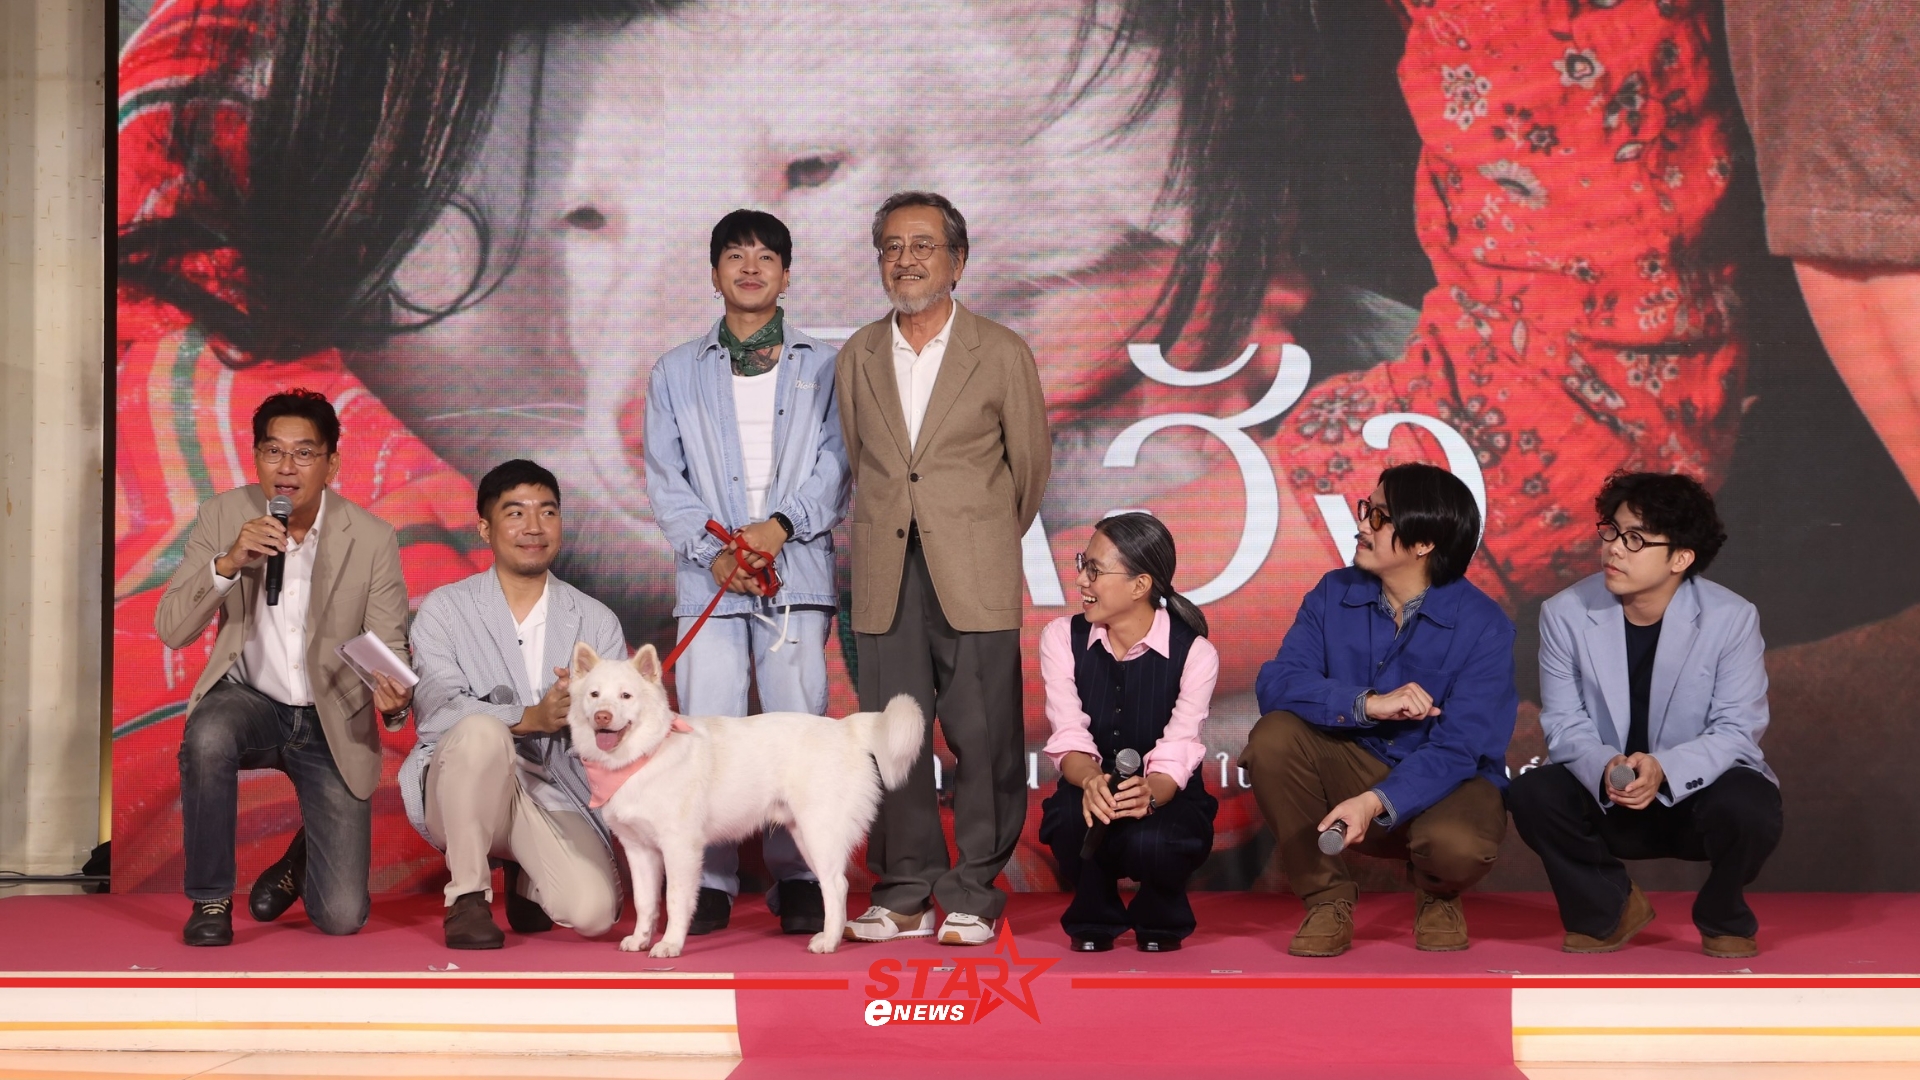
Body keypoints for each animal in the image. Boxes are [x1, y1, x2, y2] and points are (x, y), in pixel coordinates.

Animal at [567, 641, 923, 956]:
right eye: (594, 695)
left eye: (626, 696)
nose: (601, 716)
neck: (643, 756)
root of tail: (844, 728)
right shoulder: (639, 851)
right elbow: (644, 903)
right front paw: (641, 939)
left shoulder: (680, 849)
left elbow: (675, 901)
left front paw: (670, 945)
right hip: (805, 836)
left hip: (819, 835)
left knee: (837, 886)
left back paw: (829, 941)